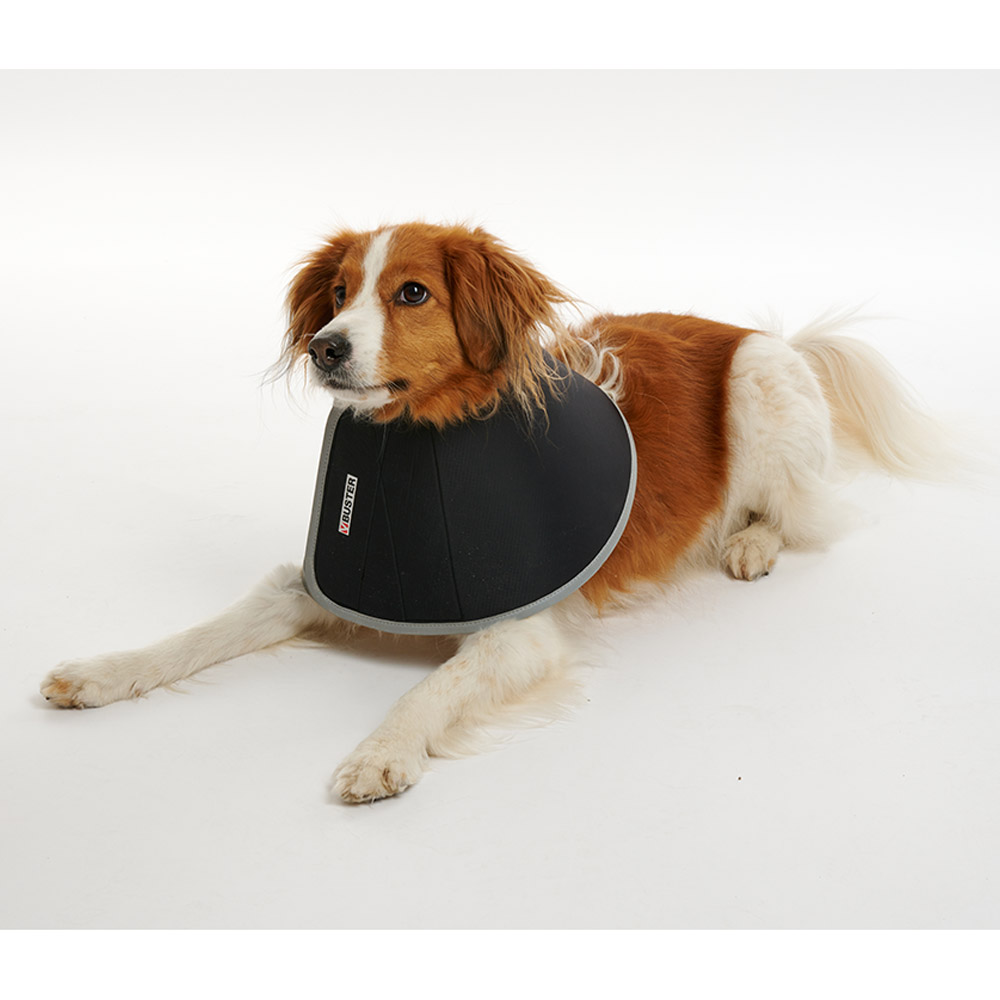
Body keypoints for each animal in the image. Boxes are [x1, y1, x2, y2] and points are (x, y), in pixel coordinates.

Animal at [40, 222, 947, 802]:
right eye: (339, 292)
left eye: (412, 293)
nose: (326, 345)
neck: (419, 439)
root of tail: (763, 333)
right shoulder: (311, 584)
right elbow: (198, 635)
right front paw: (101, 673)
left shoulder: (521, 632)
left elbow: (433, 688)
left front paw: (381, 754)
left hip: (758, 391)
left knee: (803, 512)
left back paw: (751, 544)